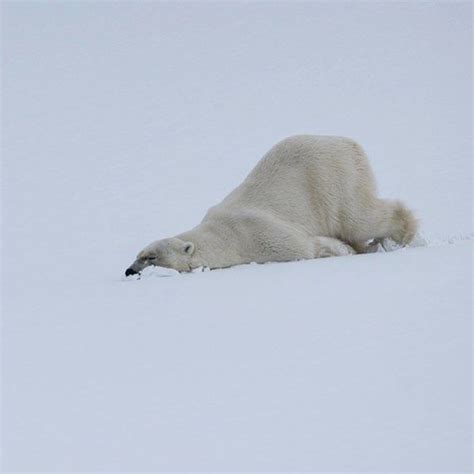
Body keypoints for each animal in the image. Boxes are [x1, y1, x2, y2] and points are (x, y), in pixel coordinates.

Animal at [126, 134, 418, 274]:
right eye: (137, 254)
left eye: (151, 257)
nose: (129, 271)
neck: (224, 236)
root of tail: (348, 142)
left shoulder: (262, 235)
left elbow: (306, 247)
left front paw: (339, 250)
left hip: (332, 178)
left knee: (358, 218)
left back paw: (406, 235)